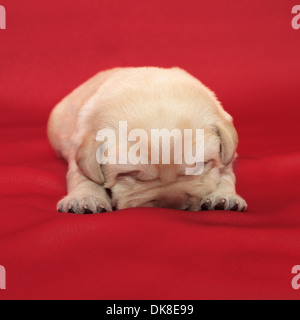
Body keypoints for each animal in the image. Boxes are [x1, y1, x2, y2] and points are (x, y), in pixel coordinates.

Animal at [48, 67, 247, 212]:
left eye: (200, 166)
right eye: (130, 174)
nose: (173, 207)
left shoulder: (228, 155)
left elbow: (226, 175)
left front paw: (224, 197)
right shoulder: (78, 148)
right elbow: (82, 177)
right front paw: (85, 198)